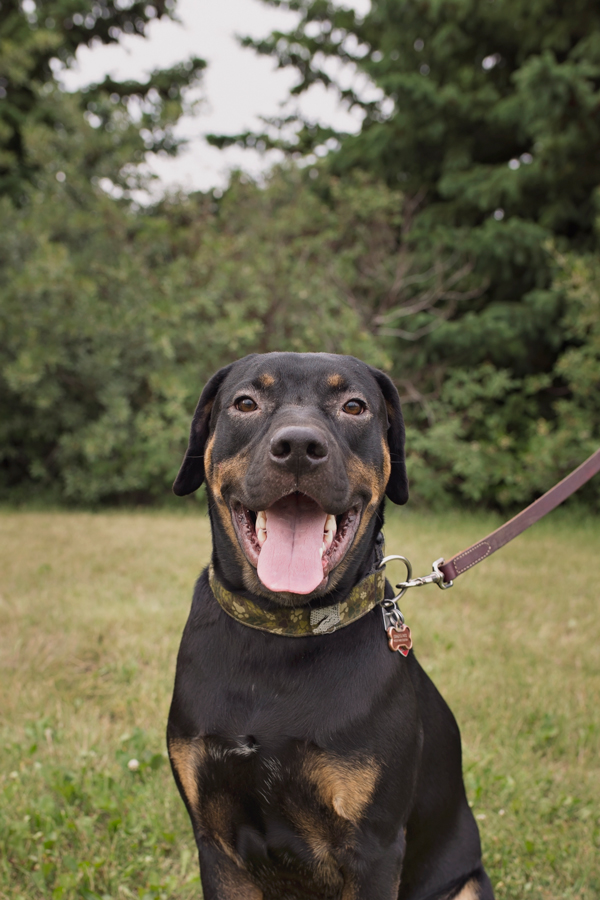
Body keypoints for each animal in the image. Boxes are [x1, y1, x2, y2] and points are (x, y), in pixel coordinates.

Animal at [167, 352, 494, 900]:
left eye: (355, 406)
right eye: (245, 403)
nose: (299, 447)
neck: (280, 635)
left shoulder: (374, 847)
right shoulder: (215, 840)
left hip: (466, 884)